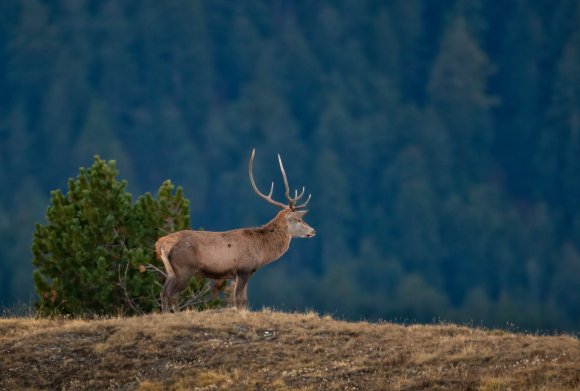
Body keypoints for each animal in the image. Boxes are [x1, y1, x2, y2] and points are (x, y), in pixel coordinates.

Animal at [156, 149, 314, 312]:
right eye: (298, 219)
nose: (313, 231)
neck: (262, 251)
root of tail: (160, 243)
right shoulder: (243, 269)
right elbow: (238, 300)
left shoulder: (244, 273)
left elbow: (242, 300)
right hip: (183, 268)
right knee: (172, 294)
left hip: (170, 271)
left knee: (163, 293)